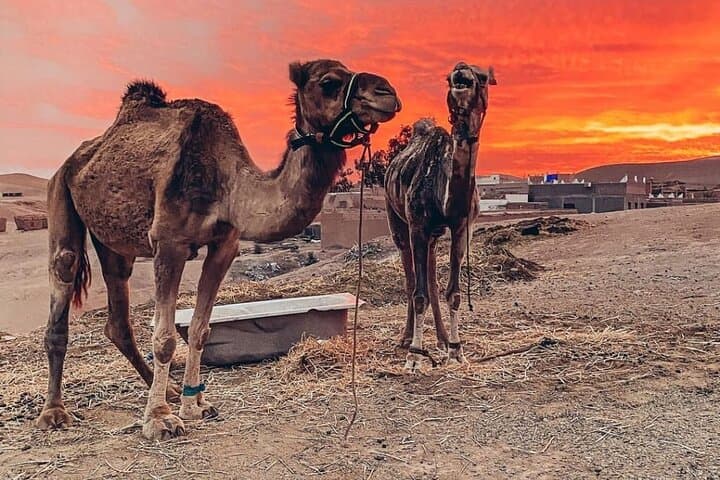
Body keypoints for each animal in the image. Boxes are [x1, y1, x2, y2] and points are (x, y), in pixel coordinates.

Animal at [37, 59, 401, 439]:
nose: (387, 93)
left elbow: (201, 328)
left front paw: (193, 405)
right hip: (59, 193)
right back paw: (54, 412)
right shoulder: (169, 242)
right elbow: (165, 337)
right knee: (64, 271)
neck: (228, 184)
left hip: (114, 242)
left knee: (118, 315)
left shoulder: (225, 245)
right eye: (329, 82)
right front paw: (159, 419)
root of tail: (74, 159)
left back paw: (166, 389)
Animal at [384, 62, 496, 372]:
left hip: (434, 235)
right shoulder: (417, 225)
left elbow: (453, 292)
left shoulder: (462, 226)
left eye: (483, 77)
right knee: (412, 281)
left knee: (431, 279)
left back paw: (442, 339)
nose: (461, 73)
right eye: (448, 78)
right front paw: (413, 356)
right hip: (398, 222)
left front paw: (456, 350)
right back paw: (406, 339)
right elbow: (418, 292)